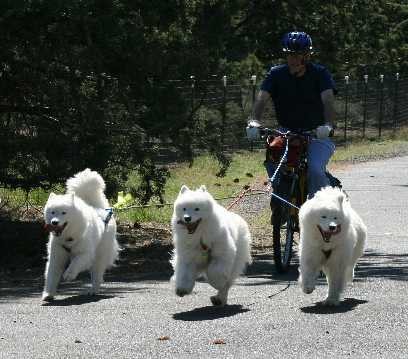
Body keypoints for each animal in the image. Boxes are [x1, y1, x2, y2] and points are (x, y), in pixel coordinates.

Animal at [42, 169, 118, 300]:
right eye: (52, 212)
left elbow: (76, 263)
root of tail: (98, 208)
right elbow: (51, 275)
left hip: (99, 255)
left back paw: (93, 290)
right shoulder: (56, 256)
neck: (68, 236)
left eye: (64, 212)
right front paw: (48, 294)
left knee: (97, 274)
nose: (54, 222)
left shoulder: (85, 253)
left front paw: (69, 274)